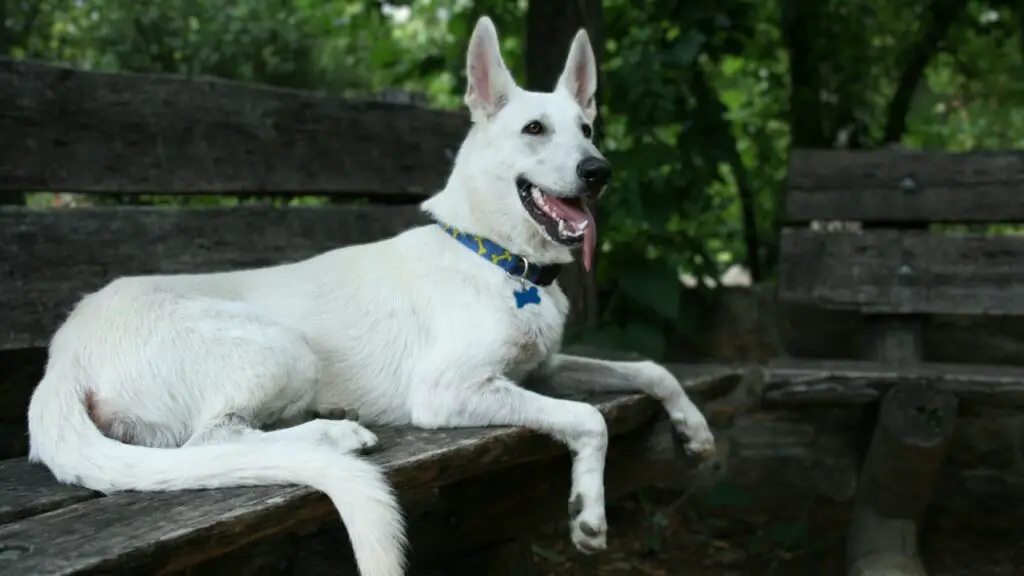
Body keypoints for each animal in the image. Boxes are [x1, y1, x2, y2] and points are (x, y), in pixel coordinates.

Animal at [24, 16, 712, 573]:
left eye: (589, 127)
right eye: (535, 129)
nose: (599, 172)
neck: (496, 257)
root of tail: (62, 358)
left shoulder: (541, 368)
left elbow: (652, 368)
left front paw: (695, 429)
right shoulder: (450, 391)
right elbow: (589, 419)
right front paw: (589, 513)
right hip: (283, 349)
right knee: (212, 442)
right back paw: (335, 435)